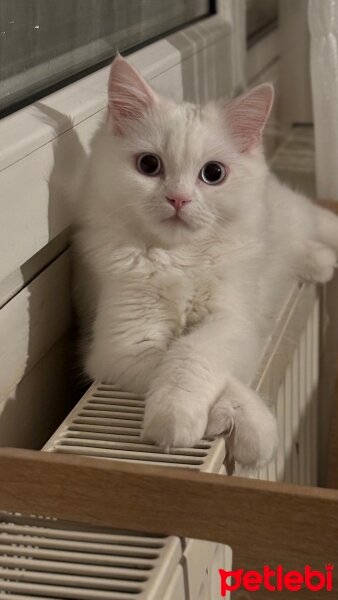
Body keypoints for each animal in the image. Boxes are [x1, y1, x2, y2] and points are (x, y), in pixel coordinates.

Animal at [73, 55, 338, 468]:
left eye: (213, 174)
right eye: (148, 165)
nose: (178, 199)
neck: (178, 257)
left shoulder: (231, 320)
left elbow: (190, 354)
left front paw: (182, 417)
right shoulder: (127, 344)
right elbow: (192, 369)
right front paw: (238, 424)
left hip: (298, 216)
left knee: (322, 222)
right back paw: (319, 262)